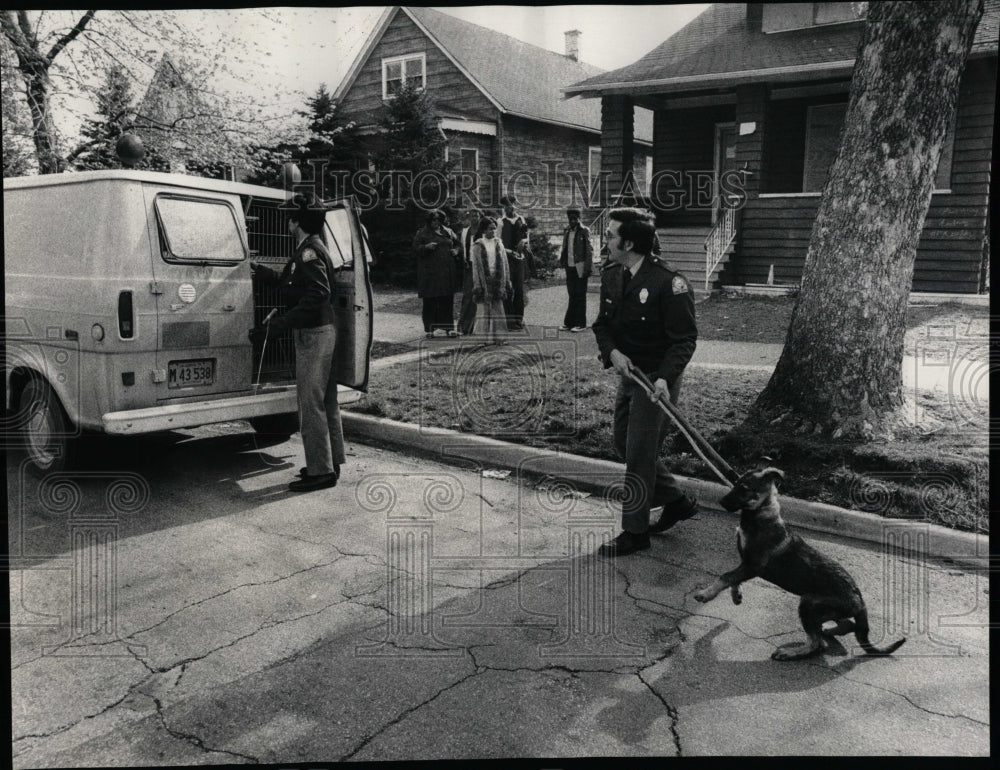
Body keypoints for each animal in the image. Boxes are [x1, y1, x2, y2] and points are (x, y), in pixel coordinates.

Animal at [696, 464, 908, 656]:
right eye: (736, 484)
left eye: (744, 489)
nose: (721, 501)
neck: (759, 512)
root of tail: (860, 599)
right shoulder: (746, 563)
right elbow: (733, 578)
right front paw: (736, 595)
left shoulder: (753, 565)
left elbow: (726, 576)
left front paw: (706, 594)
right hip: (824, 610)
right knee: (846, 625)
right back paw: (829, 631)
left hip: (809, 603)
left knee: (816, 643)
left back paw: (791, 653)